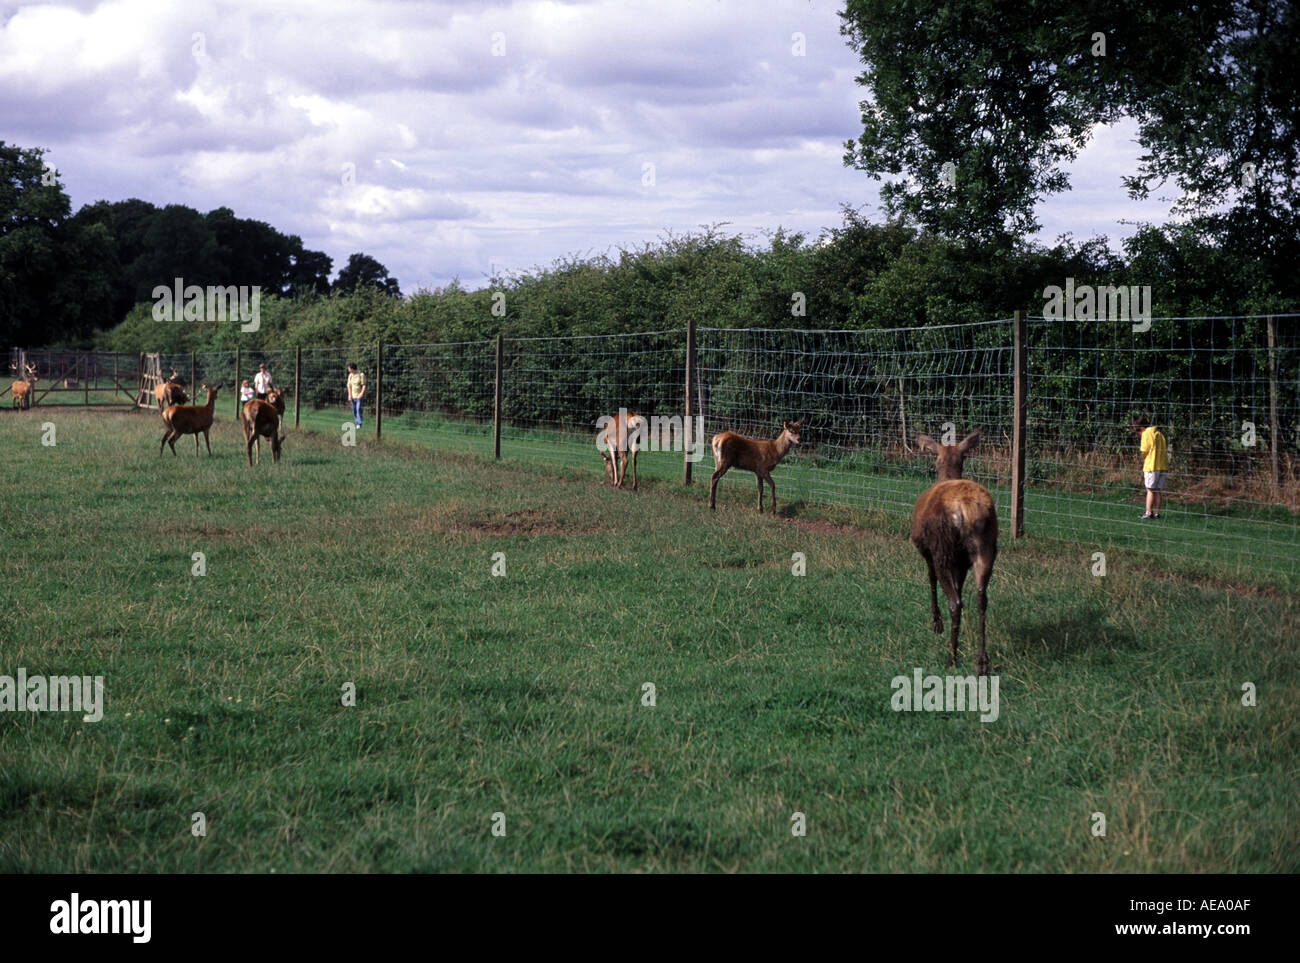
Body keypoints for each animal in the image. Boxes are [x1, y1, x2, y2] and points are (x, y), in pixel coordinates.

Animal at [910, 429, 998, 676]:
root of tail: (966, 508)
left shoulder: (927, 551)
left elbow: (930, 580)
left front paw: (936, 623)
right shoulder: (962, 563)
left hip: (943, 549)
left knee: (955, 603)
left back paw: (951, 657)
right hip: (986, 547)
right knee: (981, 598)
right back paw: (982, 661)